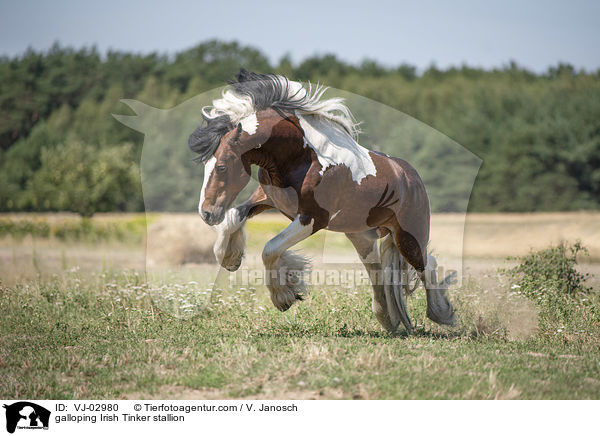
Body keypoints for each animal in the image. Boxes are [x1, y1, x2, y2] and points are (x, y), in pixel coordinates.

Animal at [188, 69, 454, 334]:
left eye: (222, 167)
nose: (206, 213)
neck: (301, 155)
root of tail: (410, 176)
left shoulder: (313, 217)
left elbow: (270, 248)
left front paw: (283, 296)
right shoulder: (267, 199)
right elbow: (234, 217)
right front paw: (230, 259)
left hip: (407, 238)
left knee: (427, 266)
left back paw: (442, 314)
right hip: (362, 236)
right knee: (378, 273)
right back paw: (389, 320)